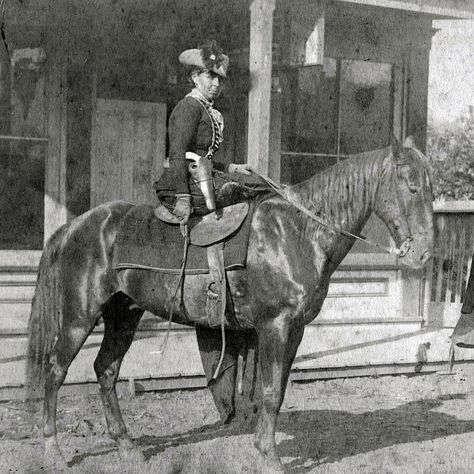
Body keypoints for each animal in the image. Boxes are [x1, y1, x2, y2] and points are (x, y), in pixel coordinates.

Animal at [25, 137, 434, 470]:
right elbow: (269, 392)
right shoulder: (274, 326)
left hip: (123, 315)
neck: (297, 231)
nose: (425, 253)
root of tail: (73, 227)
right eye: (412, 187)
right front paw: (269, 458)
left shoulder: (295, 330)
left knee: (106, 370)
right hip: (78, 318)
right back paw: (53, 451)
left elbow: (277, 392)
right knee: (55, 371)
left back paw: (126, 447)